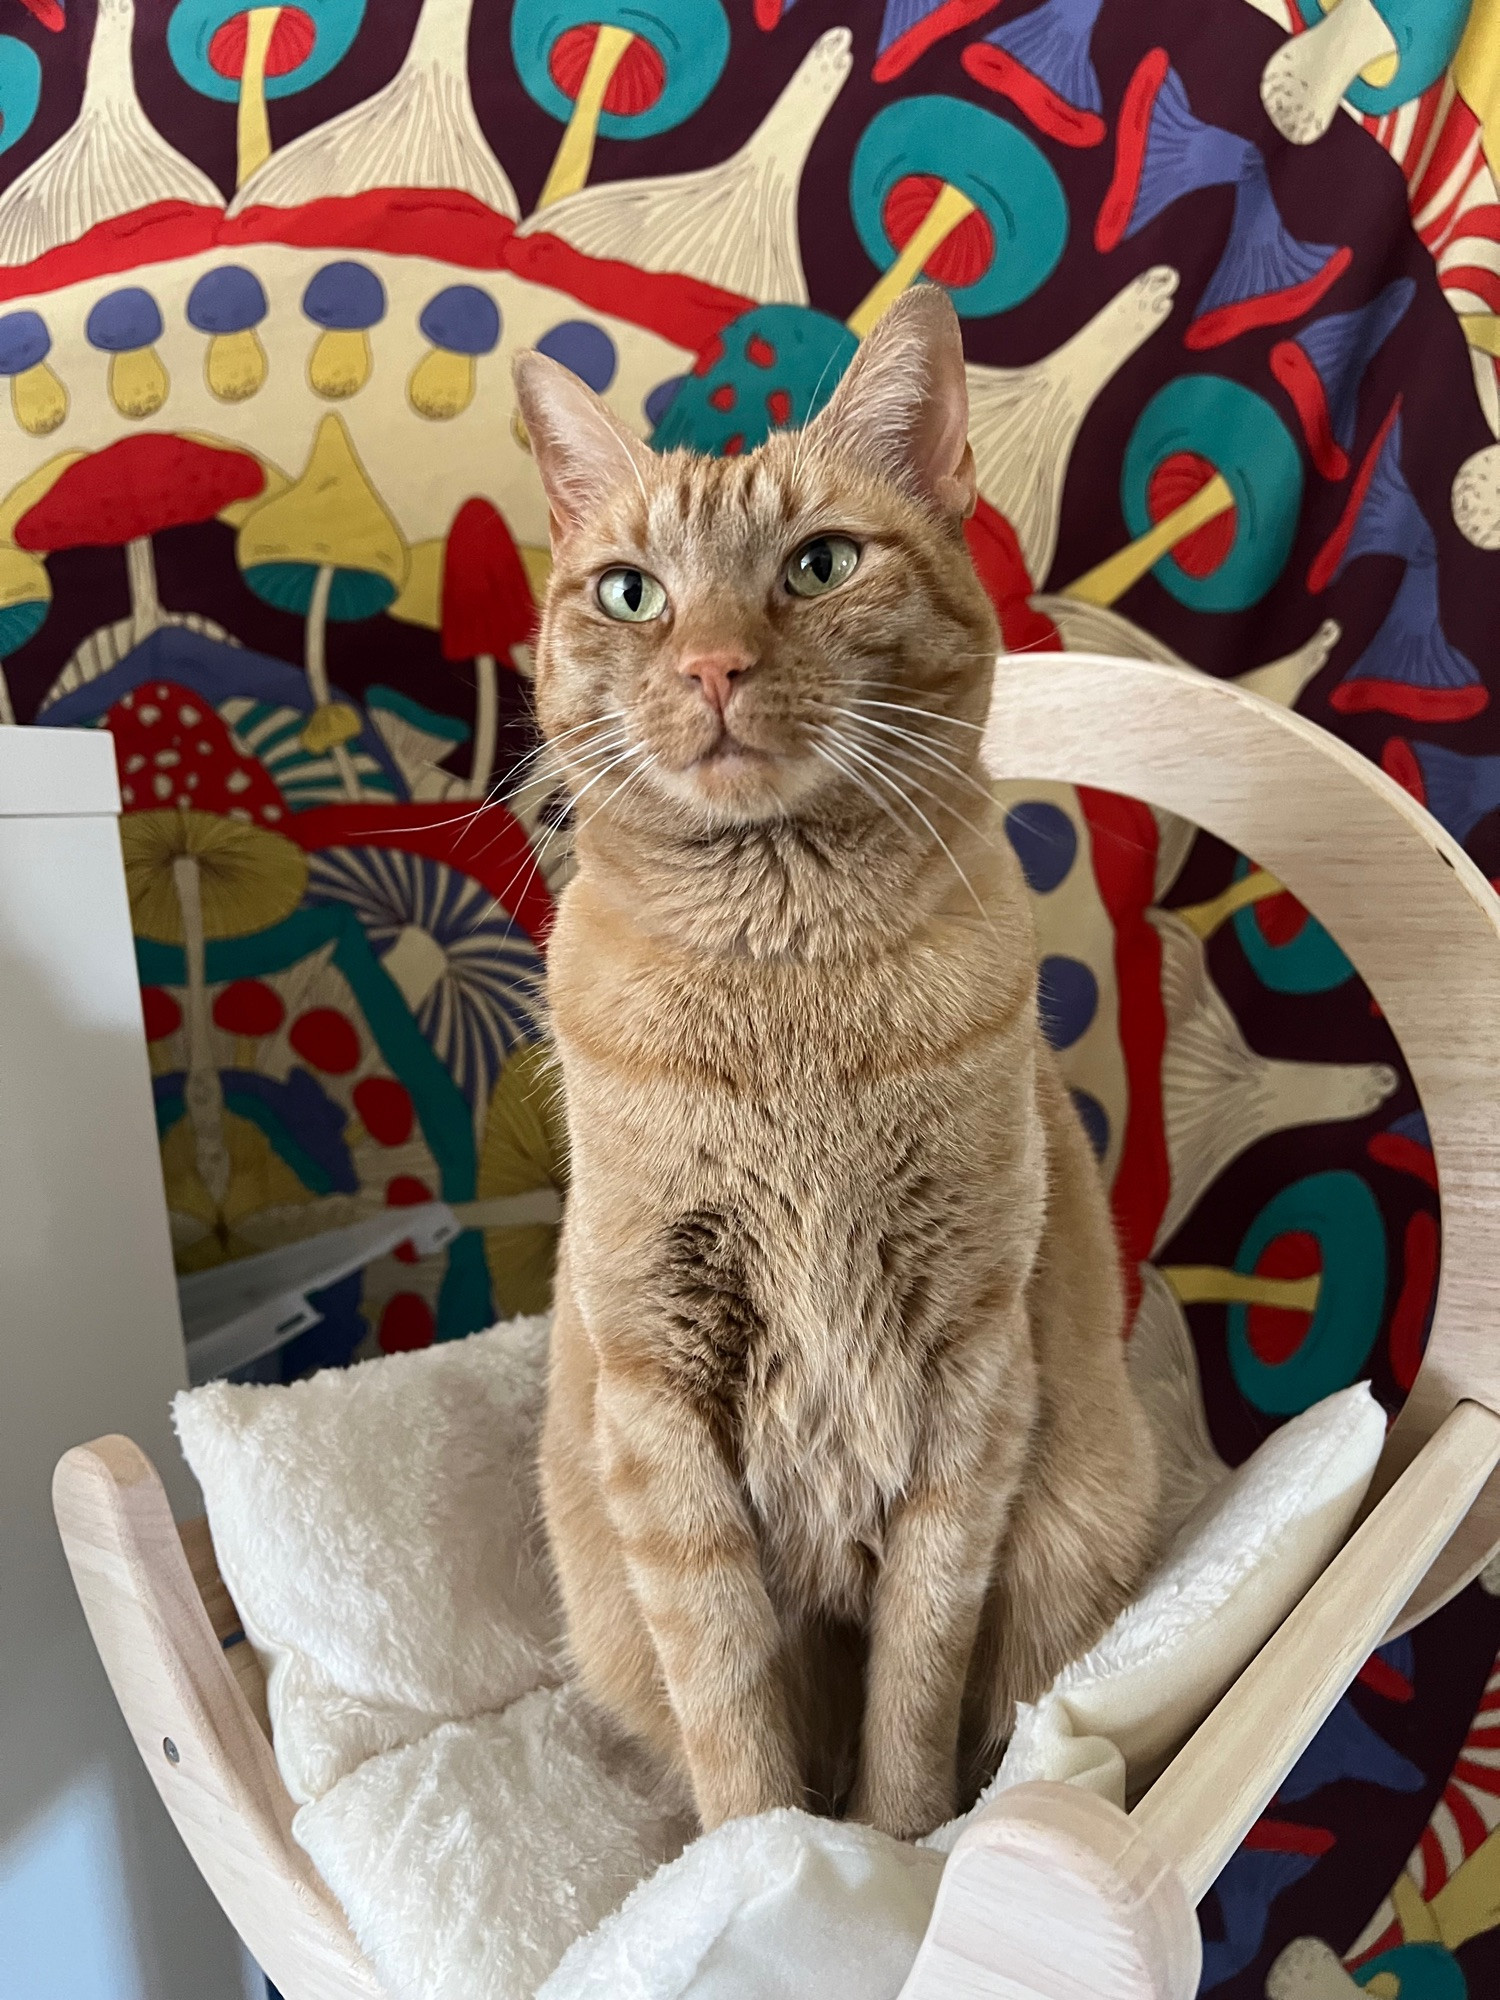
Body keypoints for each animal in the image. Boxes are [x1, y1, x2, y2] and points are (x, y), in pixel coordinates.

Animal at [516, 290, 1160, 1832]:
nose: (712, 664)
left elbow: (915, 1692)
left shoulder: (967, 1381)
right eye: (631, 592)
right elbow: (731, 1704)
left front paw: (896, 1843)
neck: (786, 988)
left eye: (818, 565)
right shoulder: (661, 1392)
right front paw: (762, 1859)